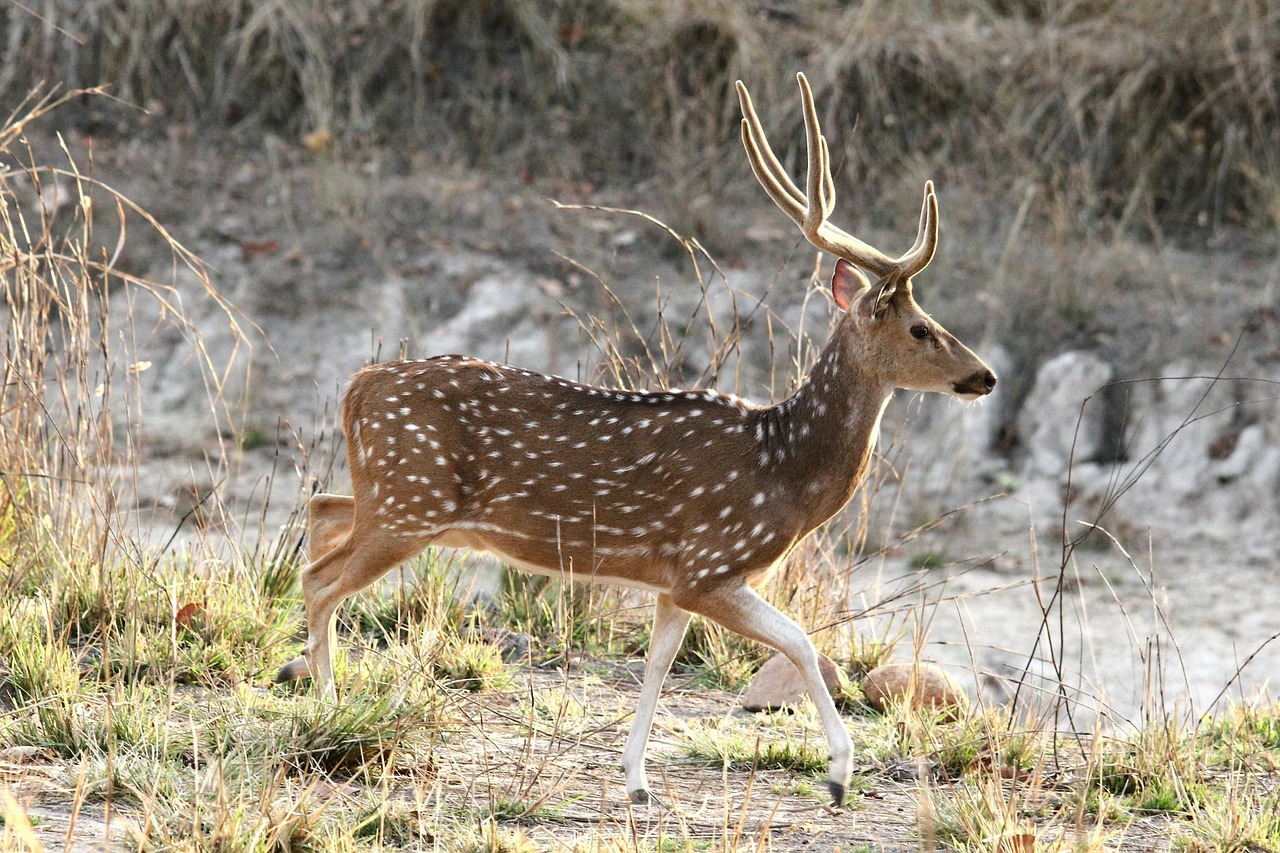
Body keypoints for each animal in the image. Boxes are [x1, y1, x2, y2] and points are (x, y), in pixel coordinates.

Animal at [277, 74, 998, 804]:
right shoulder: (711, 562)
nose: (985, 376)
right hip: (409, 504)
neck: (785, 469)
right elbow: (798, 640)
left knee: (321, 507)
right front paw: (839, 773)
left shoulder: (674, 580)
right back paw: (330, 707)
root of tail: (358, 385)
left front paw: (636, 779)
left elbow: (659, 661)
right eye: (921, 328)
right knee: (319, 579)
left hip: (395, 496)